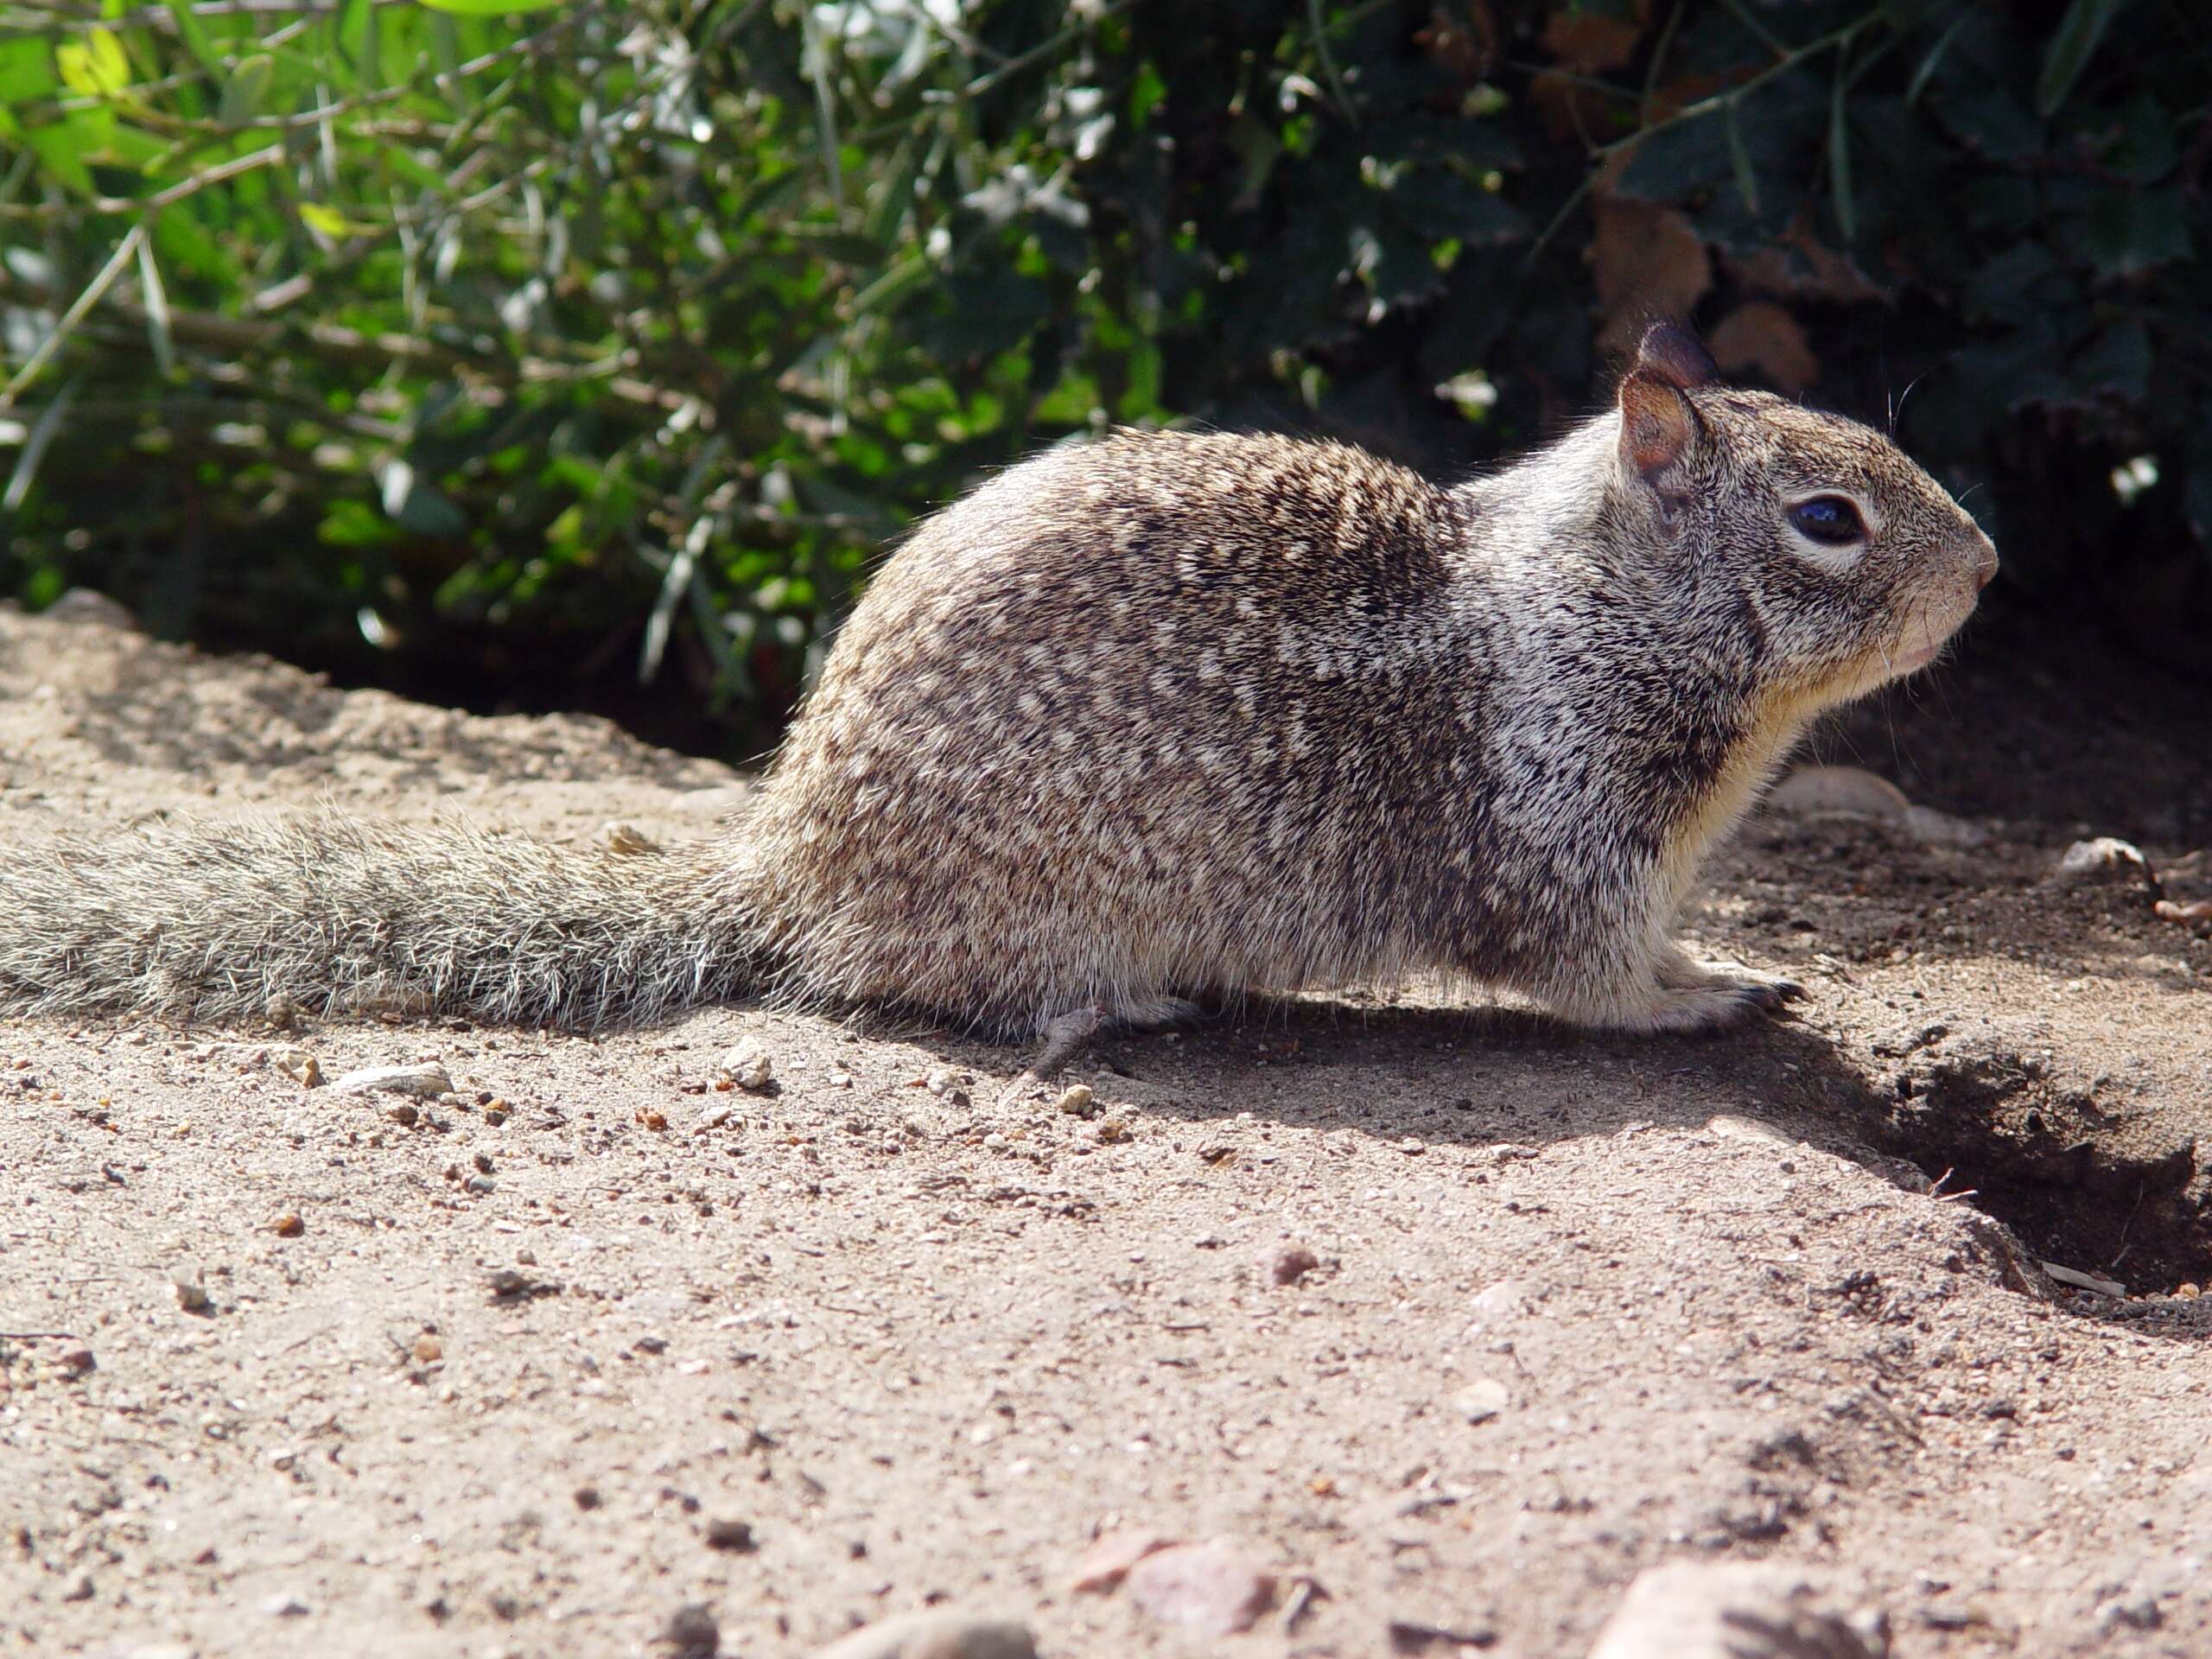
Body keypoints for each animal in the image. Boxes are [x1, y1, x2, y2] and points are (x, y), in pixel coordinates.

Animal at [0, 327, 1999, 1079]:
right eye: (1827, 520)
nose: (1987, 565)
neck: (1593, 610)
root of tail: (789, 864)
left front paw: (1728, 963)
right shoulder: (1561, 834)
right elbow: (1593, 976)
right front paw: (1704, 998)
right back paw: (1122, 1002)